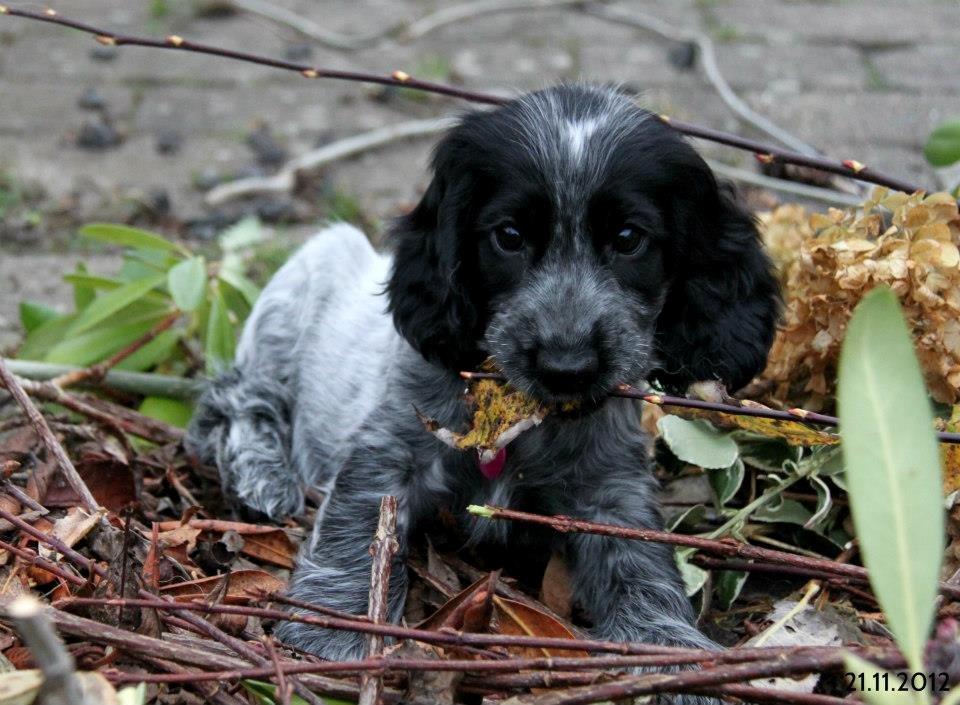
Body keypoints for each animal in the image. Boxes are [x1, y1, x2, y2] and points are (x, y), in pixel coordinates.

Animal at [186, 82, 780, 676]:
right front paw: (337, 624)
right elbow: (361, 521)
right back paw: (262, 473)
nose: (567, 367)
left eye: (629, 238)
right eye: (509, 237)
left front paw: (672, 652)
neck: (518, 412)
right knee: (236, 393)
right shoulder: (390, 446)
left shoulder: (610, 487)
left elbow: (640, 559)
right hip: (306, 276)